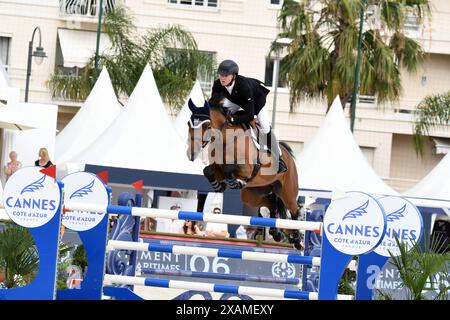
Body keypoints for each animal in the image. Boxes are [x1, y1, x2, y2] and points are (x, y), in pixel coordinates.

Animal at [186, 99, 302, 249]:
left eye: (207, 125)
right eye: (188, 124)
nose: (191, 153)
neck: (225, 139)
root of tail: (288, 155)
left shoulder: (247, 168)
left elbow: (229, 169)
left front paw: (235, 183)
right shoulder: (218, 170)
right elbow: (207, 171)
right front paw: (220, 187)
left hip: (287, 192)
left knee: (293, 211)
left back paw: (297, 240)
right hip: (252, 195)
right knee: (271, 202)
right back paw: (276, 234)